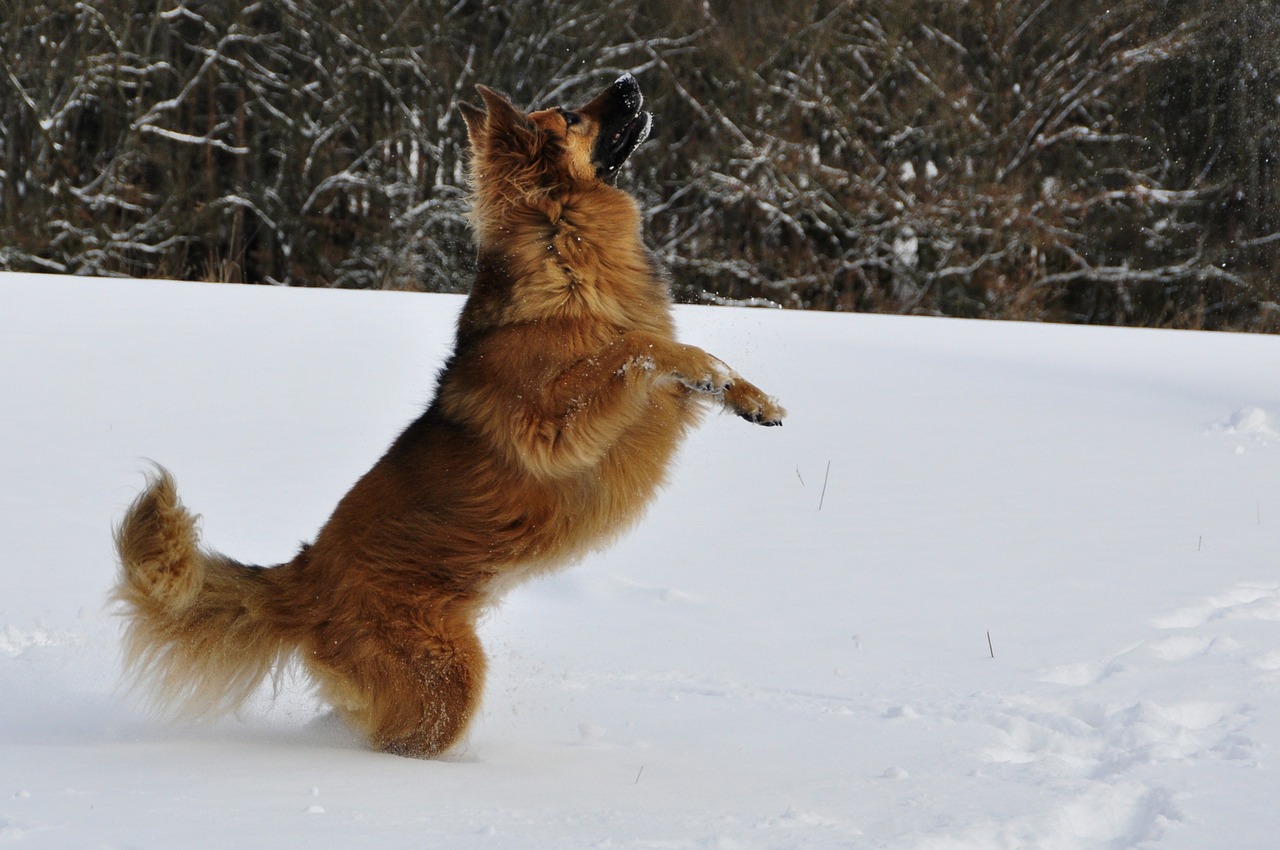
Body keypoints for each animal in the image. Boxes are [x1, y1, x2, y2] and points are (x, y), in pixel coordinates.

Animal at [117, 76, 778, 757]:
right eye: (571, 116)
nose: (628, 81)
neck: (559, 239)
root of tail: (301, 576)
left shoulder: (653, 402)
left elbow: (676, 358)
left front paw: (751, 394)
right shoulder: (553, 427)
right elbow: (636, 347)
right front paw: (709, 368)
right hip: (445, 679)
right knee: (405, 737)